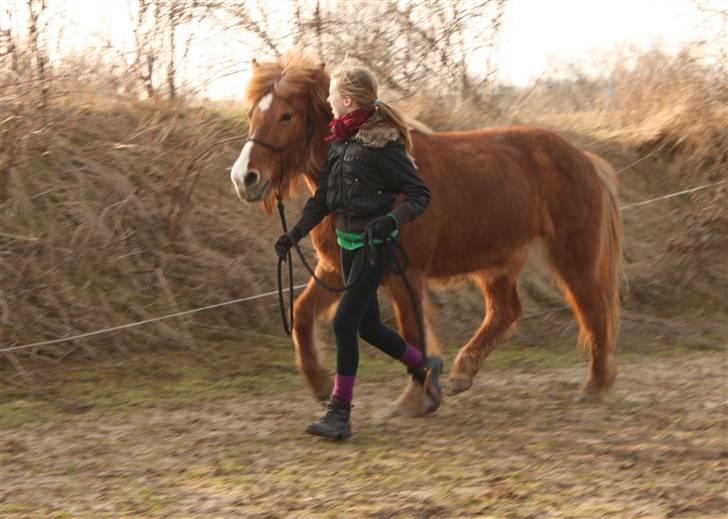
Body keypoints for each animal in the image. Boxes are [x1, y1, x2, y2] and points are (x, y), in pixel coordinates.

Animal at [230, 47, 624, 414]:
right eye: (252, 115)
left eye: (286, 116)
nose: (244, 178)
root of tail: (585, 159)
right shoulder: (336, 269)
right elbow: (301, 313)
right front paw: (319, 382)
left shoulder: (406, 275)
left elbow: (412, 331)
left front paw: (415, 398)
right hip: (498, 262)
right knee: (506, 311)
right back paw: (463, 373)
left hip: (574, 258)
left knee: (594, 310)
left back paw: (595, 386)